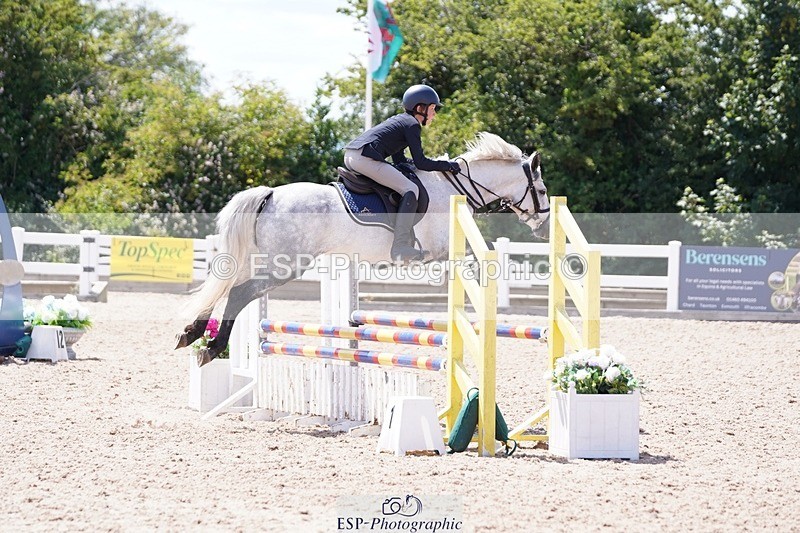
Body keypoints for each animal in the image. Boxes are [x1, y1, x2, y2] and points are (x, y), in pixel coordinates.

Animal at [175, 132, 551, 365]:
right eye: (544, 191)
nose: (545, 228)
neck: (456, 188)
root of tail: (269, 194)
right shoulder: (445, 250)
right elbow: (478, 261)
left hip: (261, 258)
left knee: (223, 286)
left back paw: (191, 333)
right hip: (286, 265)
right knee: (239, 292)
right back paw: (212, 348)